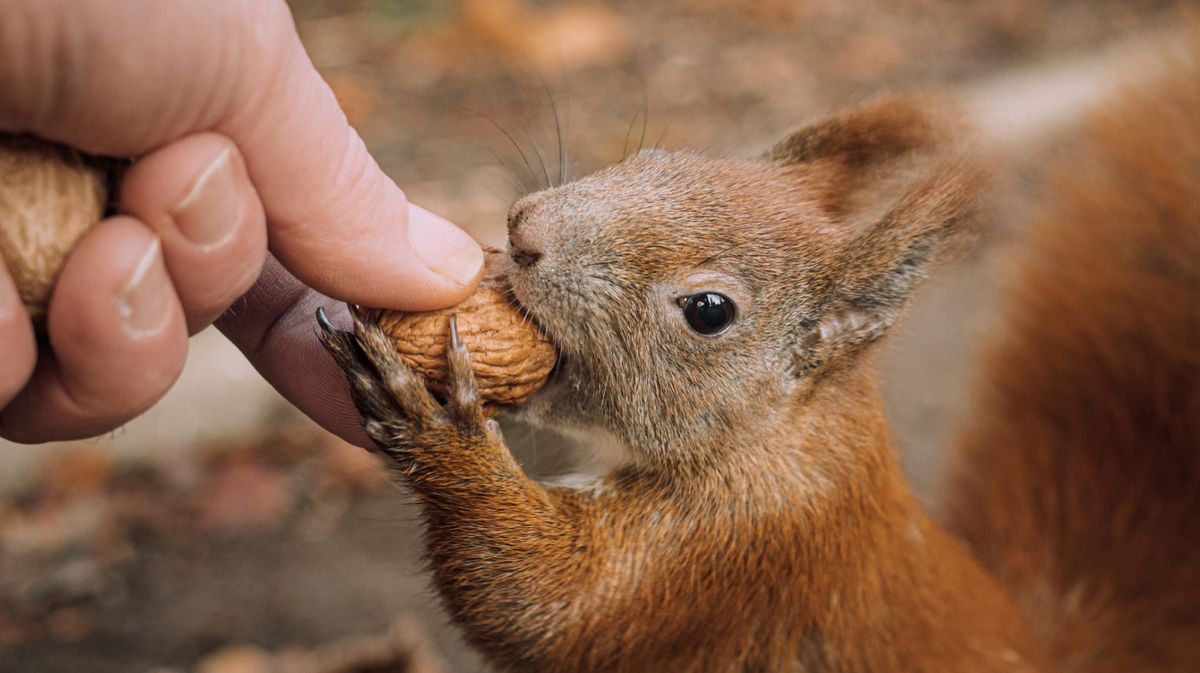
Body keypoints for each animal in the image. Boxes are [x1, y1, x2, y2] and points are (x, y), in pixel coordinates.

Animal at [316, 19, 1200, 671]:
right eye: (652, 156)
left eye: (708, 312)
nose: (524, 230)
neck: (780, 433)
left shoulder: (748, 541)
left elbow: (546, 603)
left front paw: (440, 433)